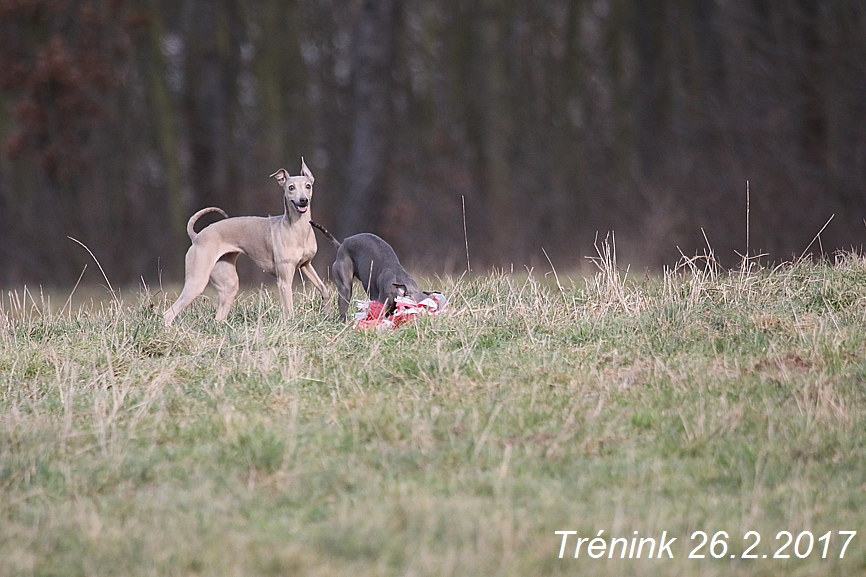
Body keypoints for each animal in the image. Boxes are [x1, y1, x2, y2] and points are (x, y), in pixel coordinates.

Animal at [162, 158, 328, 326]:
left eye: (308, 186)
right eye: (291, 187)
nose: (303, 200)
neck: (297, 229)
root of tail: (196, 236)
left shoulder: (306, 265)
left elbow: (324, 289)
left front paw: (328, 312)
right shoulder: (284, 280)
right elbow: (289, 309)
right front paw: (292, 324)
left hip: (228, 283)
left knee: (218, 316)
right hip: (197, 280)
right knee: (168, 313)